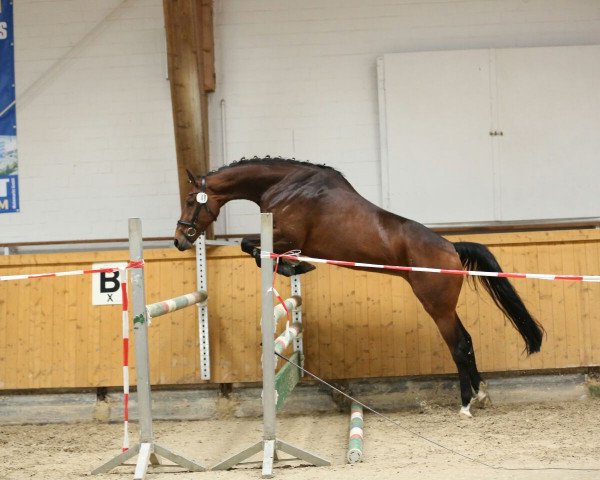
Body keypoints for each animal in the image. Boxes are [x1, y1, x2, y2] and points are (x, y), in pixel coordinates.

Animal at [173, 158, 544, 416]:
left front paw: (297, 266)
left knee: (460, 345)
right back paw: (479, 395)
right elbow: (255, 249)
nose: (179, 239)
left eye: (191, 199)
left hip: (437, 307)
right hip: (444, 308)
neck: (285, 185)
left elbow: (249, 245)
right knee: (466, 342)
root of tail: (451, 248)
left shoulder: (286, 235)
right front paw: (296, 266)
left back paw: (466, 404)